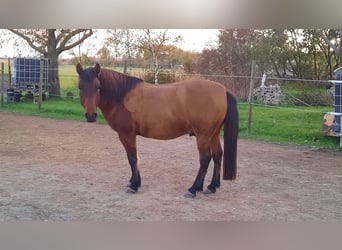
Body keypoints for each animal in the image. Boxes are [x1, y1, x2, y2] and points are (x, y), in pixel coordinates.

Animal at [77, 63, 238, 197]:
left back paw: (193, 189)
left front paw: (134, 185)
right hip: (213, 134)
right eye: (80, 87)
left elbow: (132, 158)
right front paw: (133, 181)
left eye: (98, 87)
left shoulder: (127, 134)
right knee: (217, 155)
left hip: (203, 136)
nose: (90, 116)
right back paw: (211, 186)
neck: (122, 97)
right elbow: (132, 158)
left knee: (205, 159)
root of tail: (223, 90)